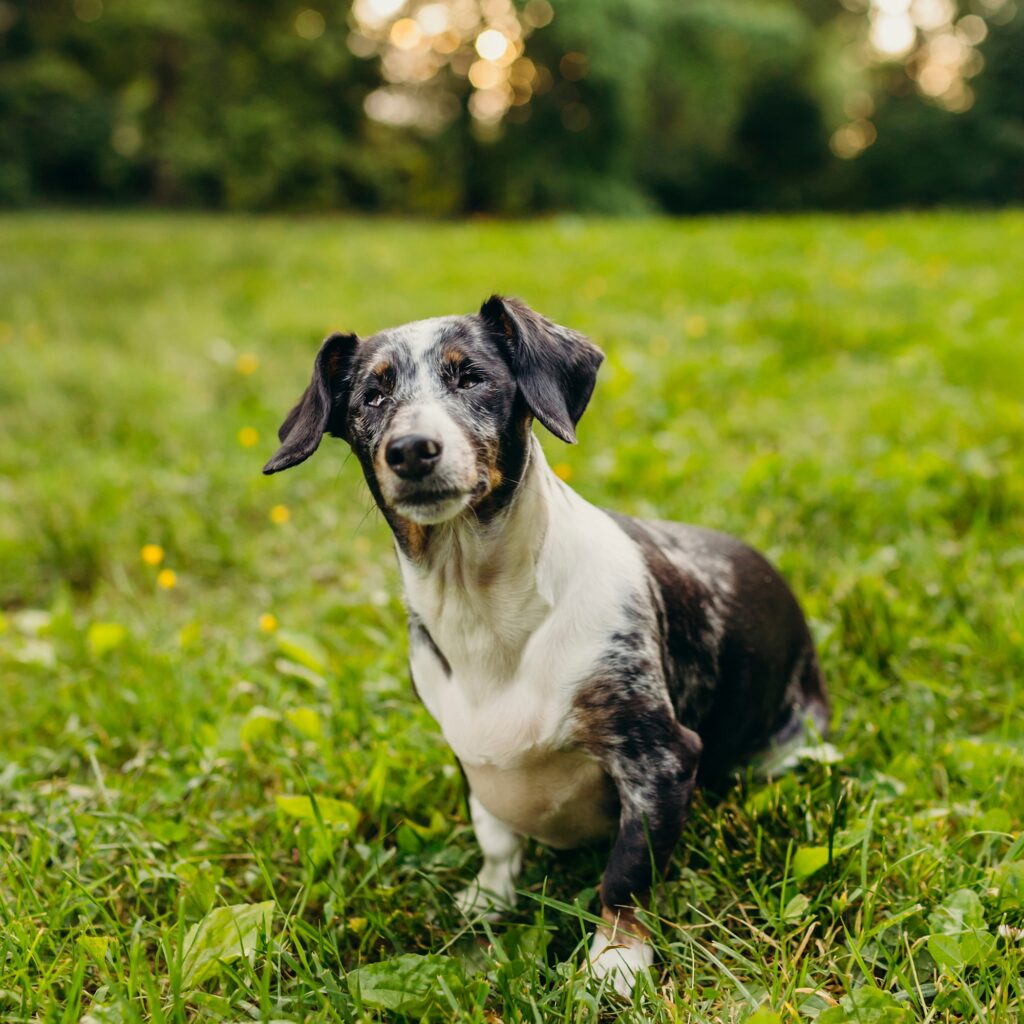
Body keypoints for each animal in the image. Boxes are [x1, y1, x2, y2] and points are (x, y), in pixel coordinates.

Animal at [264, 294, 831, 991]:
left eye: (472, 377)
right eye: (372, 395)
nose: (412, 449)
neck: (486, 613)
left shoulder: (659, 759)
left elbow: (626, 873)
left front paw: (616, 960)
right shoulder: (471, 757)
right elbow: (496, 835)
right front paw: (489, 897)